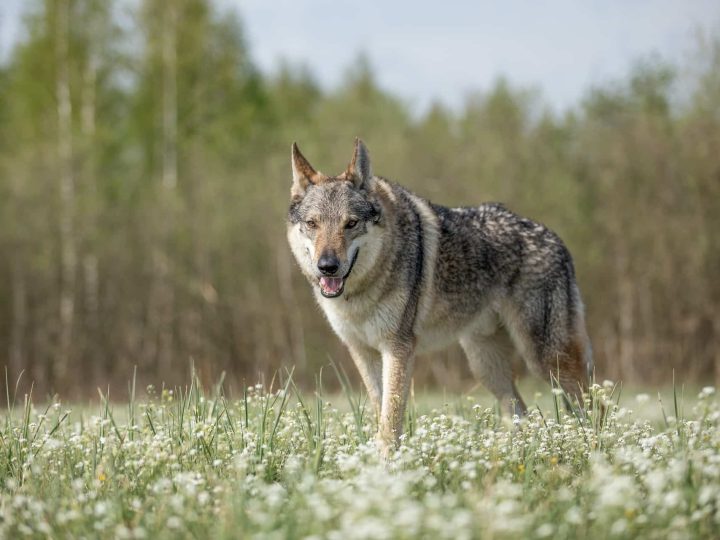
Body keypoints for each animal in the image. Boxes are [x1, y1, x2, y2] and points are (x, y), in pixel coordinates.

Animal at [287, 139, 593, 457]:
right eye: (312, 224)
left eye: (351, 223)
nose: (327, 266)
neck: (359, 294)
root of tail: (557, 240)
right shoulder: (362, 351)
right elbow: (380, 412)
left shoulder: (398, 349)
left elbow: (390, 420)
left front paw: (387, 464)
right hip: (486, 365)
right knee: (520, 409)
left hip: (547, 360)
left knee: (591, 406)